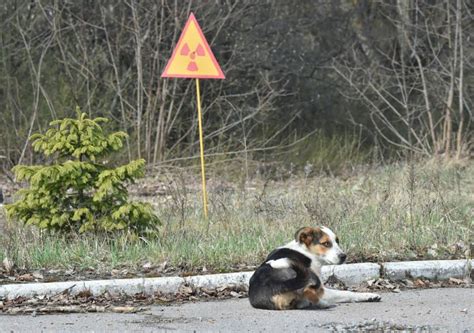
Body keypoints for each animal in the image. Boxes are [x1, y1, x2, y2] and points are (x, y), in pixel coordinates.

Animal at [248, 226, 382, 308]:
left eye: (337, 241)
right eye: (326, 243)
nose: (344, 256)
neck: (306, 251)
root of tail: (276, 285)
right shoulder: (323, 288)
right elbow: (348, 293)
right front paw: (368, 295)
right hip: (308, 277)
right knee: (308, 292)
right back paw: (323, 303)